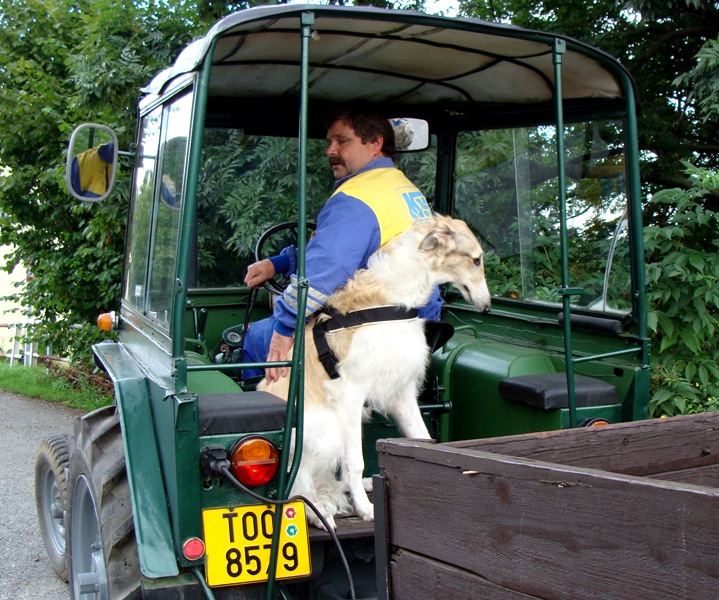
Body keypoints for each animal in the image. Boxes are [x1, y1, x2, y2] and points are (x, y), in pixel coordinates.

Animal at [262, 216, 492, 528]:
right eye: (476, 260)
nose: (488, 306)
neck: (391, 302)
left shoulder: (402, 394)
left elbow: (423, 440)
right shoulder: (350, 395)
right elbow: (354, 462)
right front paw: (366, 509)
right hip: (326, 430)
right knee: (295, 484)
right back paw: (317, 511)